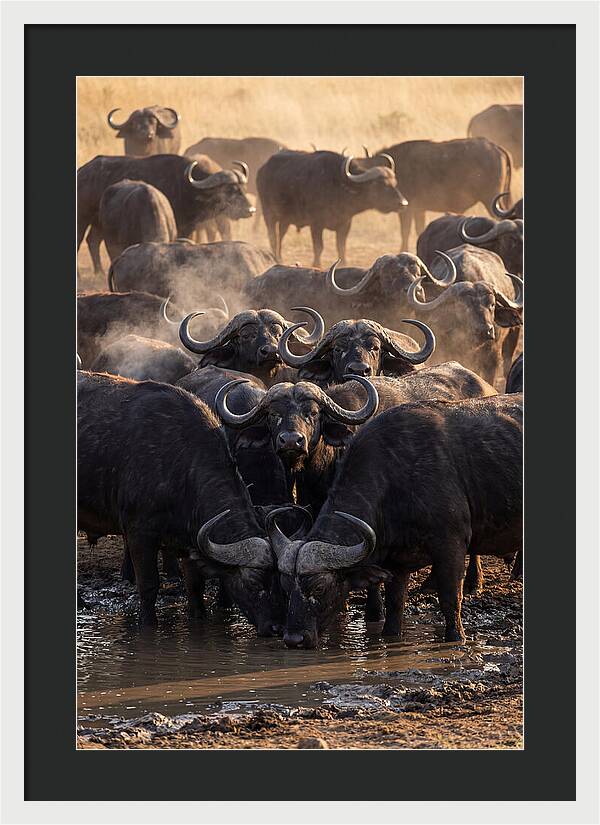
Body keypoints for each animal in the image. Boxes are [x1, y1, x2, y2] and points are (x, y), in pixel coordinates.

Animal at [77, 371, 280, 633]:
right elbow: (149, 586)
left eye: (279, 580)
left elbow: (195, 586)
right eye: (254, 582)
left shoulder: (188, 540)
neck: (181, 465)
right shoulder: (139, 533)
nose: (276, 627)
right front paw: (148, 625)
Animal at [256, 150, 407, 266]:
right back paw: (276, 258)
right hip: (268, 214)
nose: (403, 203)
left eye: (394, 183)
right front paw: (316, 264)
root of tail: (262, 170)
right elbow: (319, 247)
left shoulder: (345, 224)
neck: (339, 186)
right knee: (272, 237)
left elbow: (341, 246)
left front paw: (344, 263)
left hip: (285, 219)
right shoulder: (316, 224)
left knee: (280, 235)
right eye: (380, 184)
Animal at [271, 393, 522, 647]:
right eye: (285, 586)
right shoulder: (397, 563)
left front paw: (456, 638)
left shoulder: (451, 545)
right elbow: (394, 607)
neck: (396, 480)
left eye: (320, 587)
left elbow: (450, 600)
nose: (294, 639)